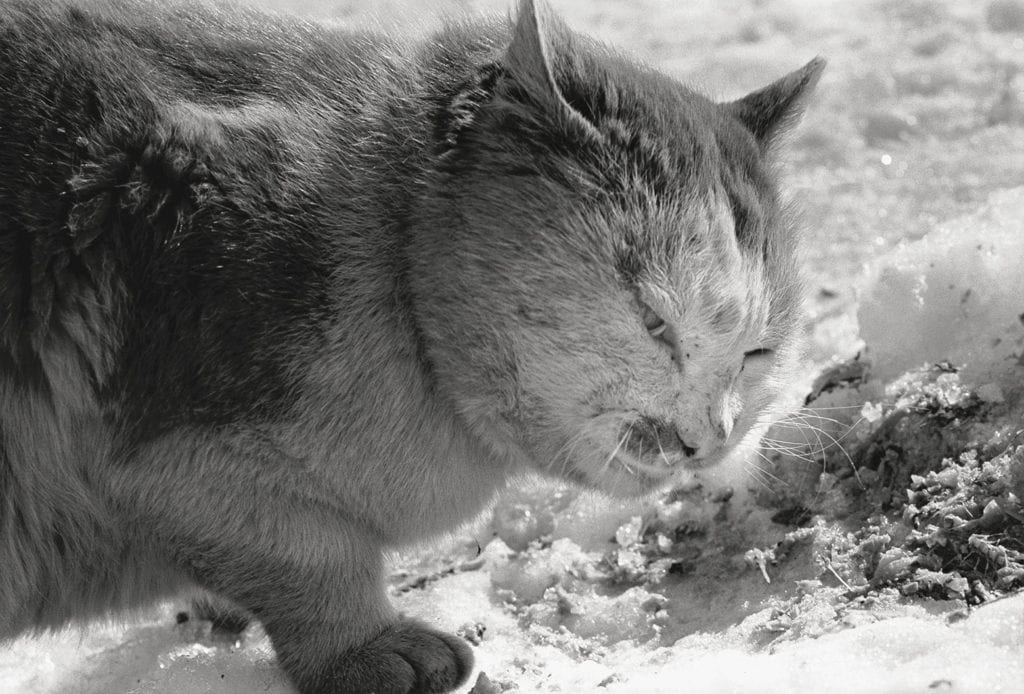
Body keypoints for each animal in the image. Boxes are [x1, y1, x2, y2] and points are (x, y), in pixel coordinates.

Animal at [0, 0, 823, 691]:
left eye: (757, 353)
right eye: (654, 322)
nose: (709, 437)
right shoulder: (176, 453)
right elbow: (312, 554)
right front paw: (367, 650)